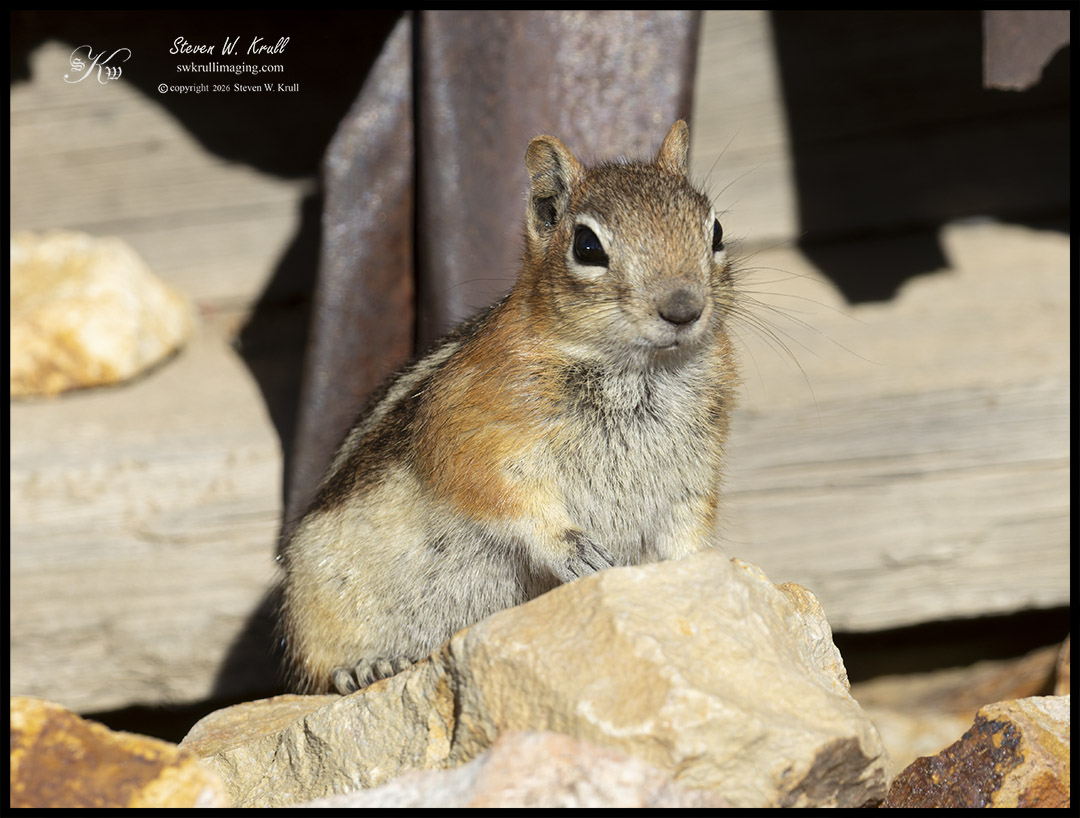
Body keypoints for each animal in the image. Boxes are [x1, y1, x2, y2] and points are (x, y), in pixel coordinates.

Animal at [278, 120, 738, 694]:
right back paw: (365, 667)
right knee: (319, 674)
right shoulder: (472, 430)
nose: (682, 308)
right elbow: (503, 495)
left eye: (715, 231)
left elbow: (687, 532)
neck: (639, 372)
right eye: (587, 246)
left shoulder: (692, 475)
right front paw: (574, 549)